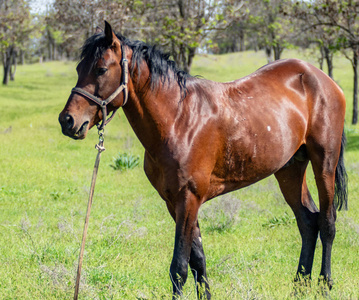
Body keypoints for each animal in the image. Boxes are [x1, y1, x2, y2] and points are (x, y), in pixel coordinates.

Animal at [59, 21, 348, 298]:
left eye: (101, 69)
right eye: (79, 68)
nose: (67, 121)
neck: (179, 119)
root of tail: (321, 78)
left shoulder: (189, 199)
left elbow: (179, 267)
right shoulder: (174, 202)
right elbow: (197, 259)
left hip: (324, 163)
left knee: (327, 222)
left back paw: (324, 285)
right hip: (290, 169)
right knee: (308, 222)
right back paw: (299, 287)